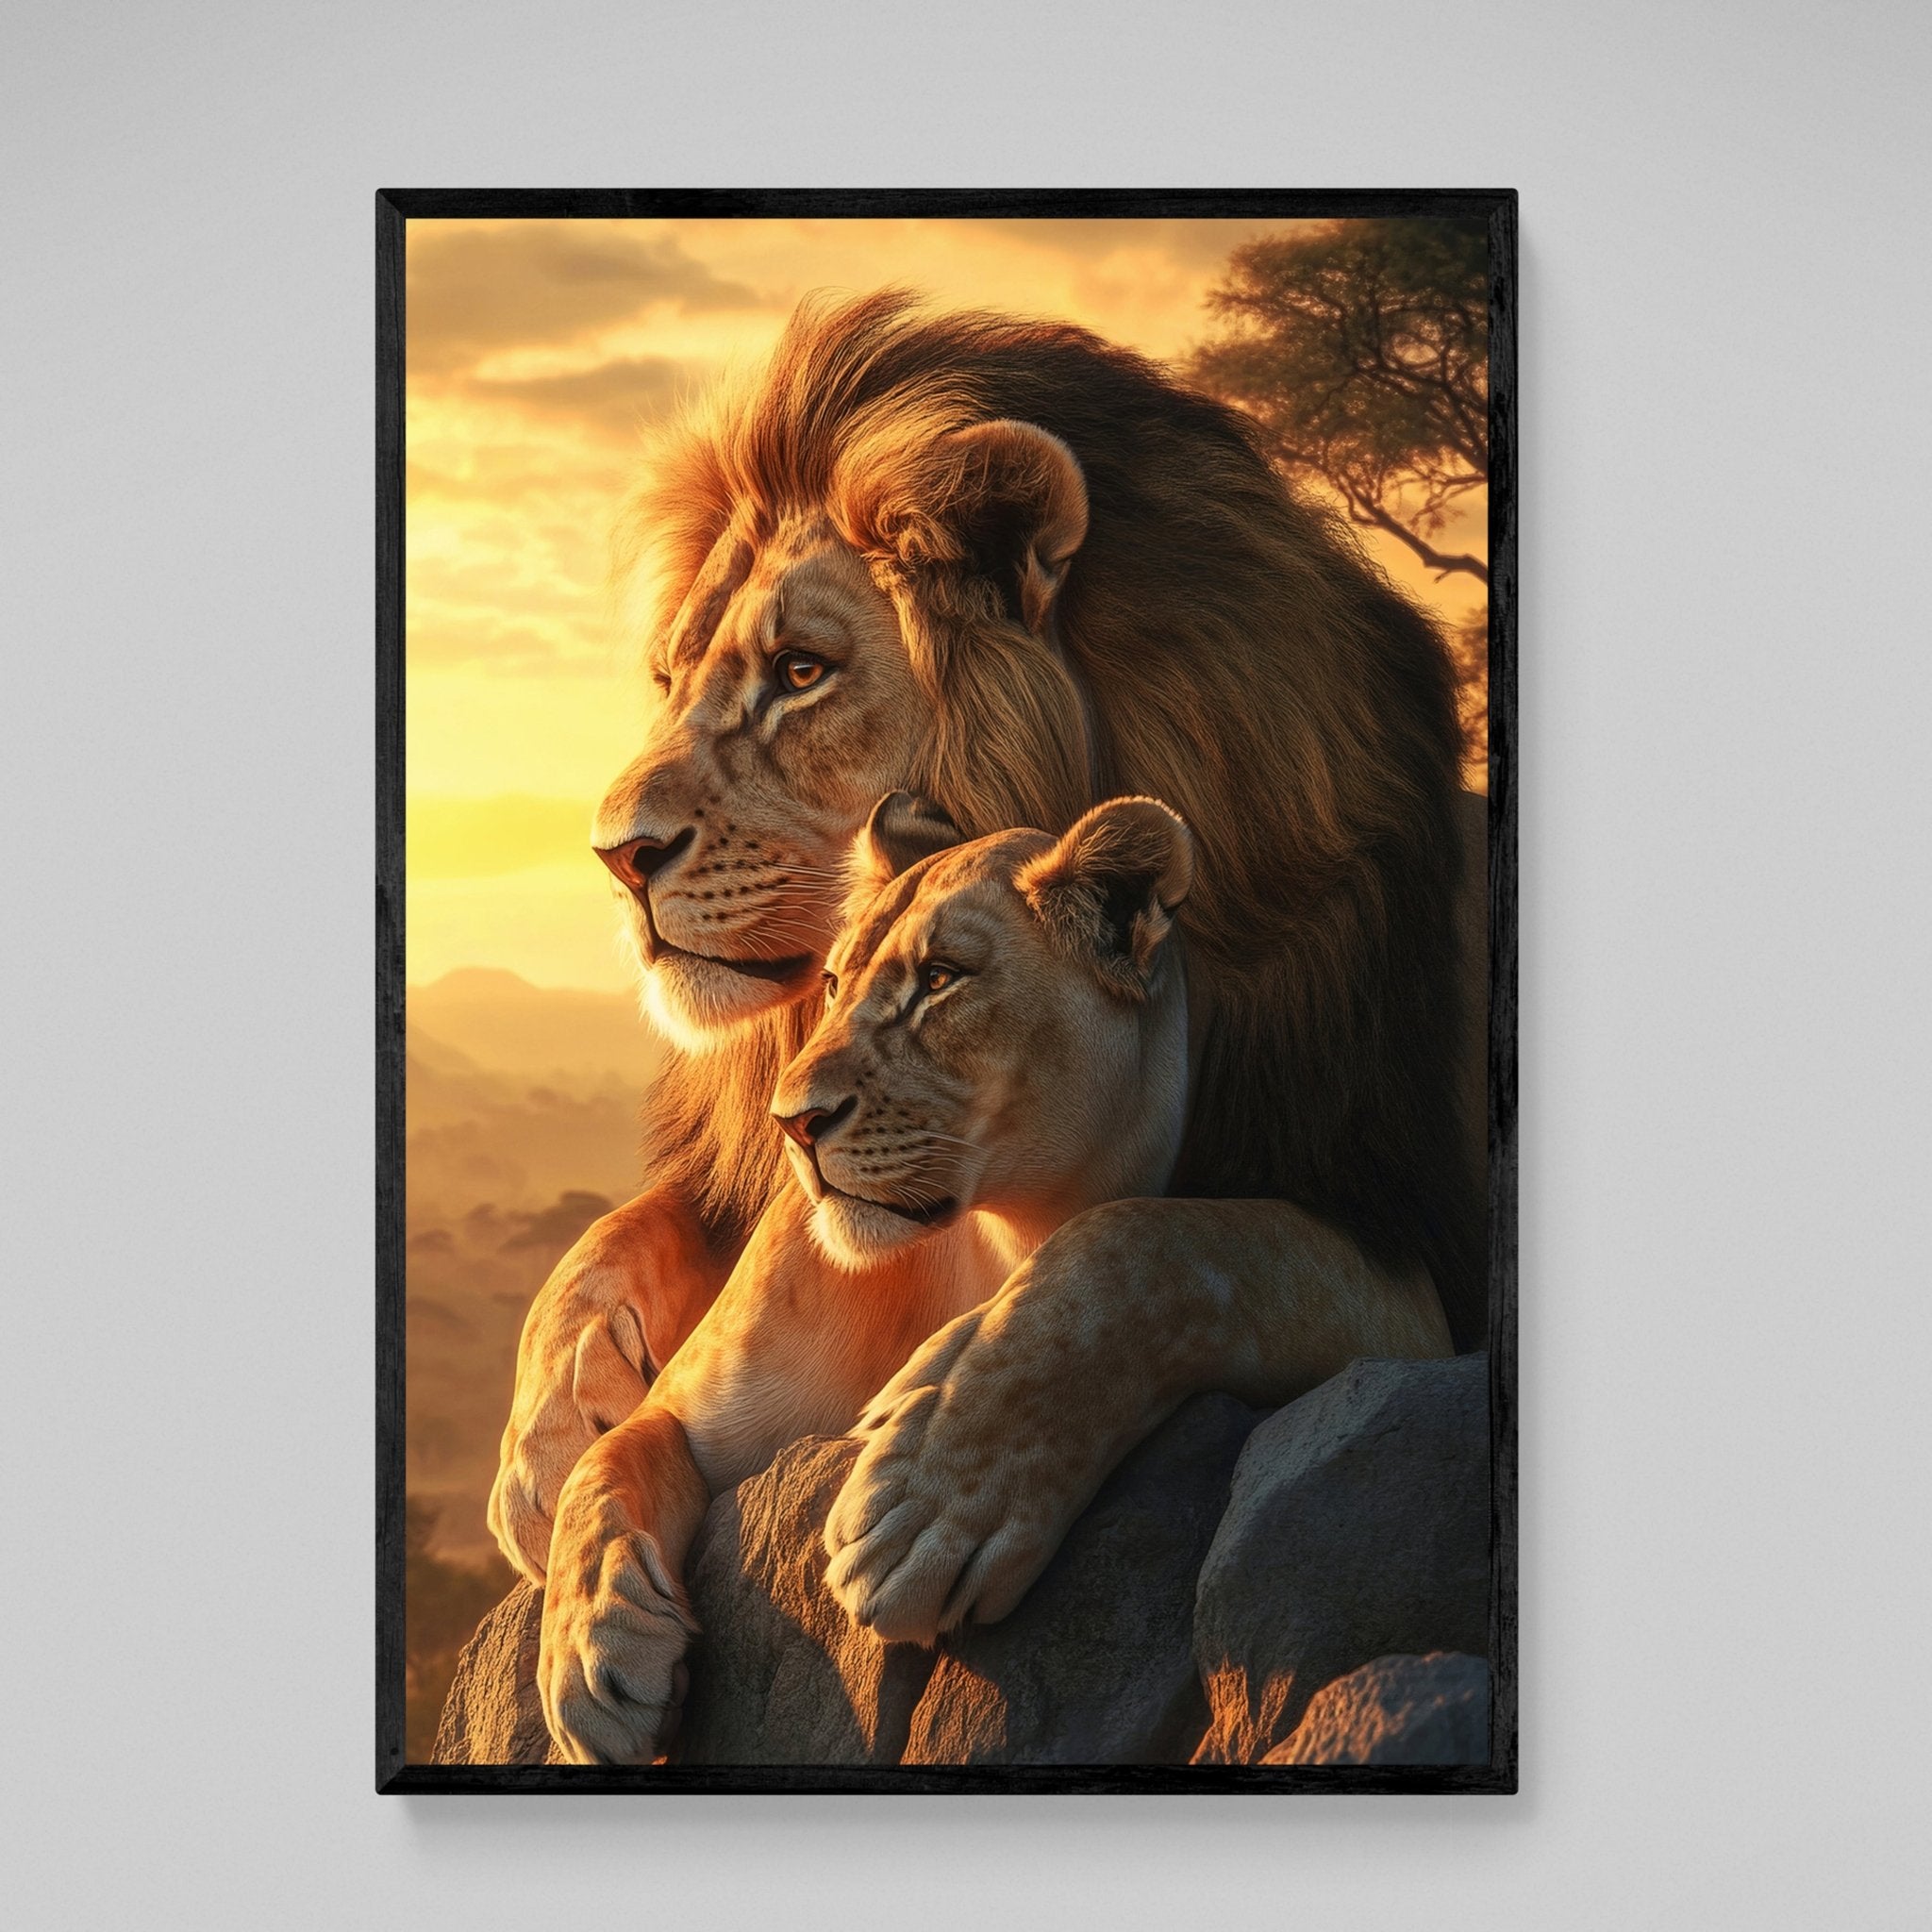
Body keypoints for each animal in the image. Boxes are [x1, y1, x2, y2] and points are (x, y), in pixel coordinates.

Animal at [488, 289, 1485, 1618]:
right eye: (667, 677)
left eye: (799, 671)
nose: (613, 854)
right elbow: (616, 1237)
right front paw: (543, 1449)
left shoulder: (1399, 1224)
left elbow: (1150, 1244)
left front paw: (941, 1482)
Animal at [536, 792, 1453, 1763]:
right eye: (833, 985)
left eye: (941, 979)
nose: (790, 1123)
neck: (997, 1237)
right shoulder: (698, 1412)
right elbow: (605, 1460)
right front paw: (590, 1661)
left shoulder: (1400, 1291)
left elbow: (1144, 1244)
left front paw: (928, 1508)